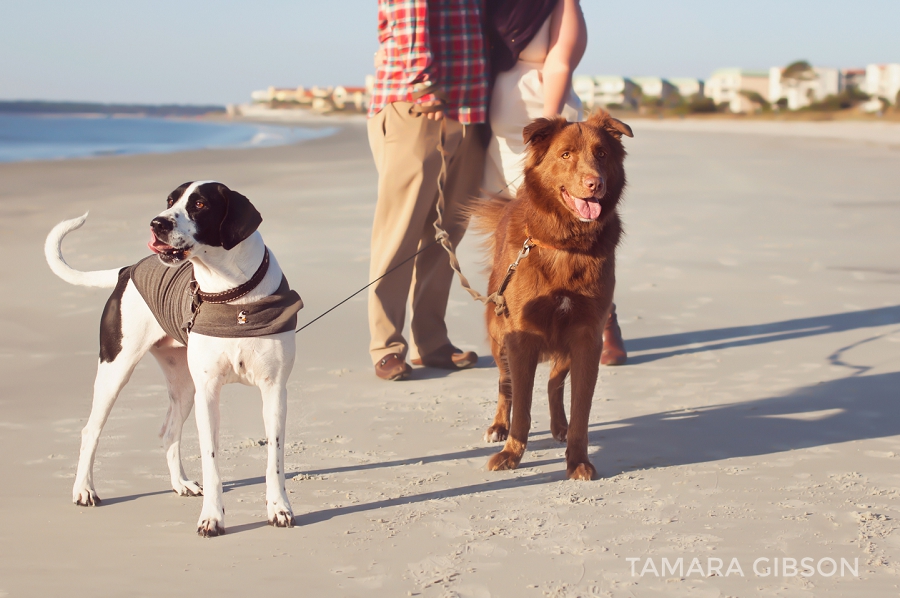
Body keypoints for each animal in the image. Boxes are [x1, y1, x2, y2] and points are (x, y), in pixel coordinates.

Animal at [44, 180, 302, 536]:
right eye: (169, 201)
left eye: (200, 204)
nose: (157, 223)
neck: (232, 294)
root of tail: (127, 270)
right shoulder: (208, 393)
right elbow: (211, 461)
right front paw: (212, 518)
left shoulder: (274, 390)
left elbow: (274, 459)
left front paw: (279, 509)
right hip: (116, 371)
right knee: (90, 431)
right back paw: (84, 490)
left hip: (183, 385)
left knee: (168, 431)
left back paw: (180, 483)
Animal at [472, 110, 632, 480]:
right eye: (566, 155)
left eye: (602, 153)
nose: (594, 184)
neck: (567, 243)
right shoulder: (521, 336)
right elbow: (521, 405)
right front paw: (511, 454)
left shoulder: (587, 336)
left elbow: (581, 410)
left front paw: (578, 461)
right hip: (499, 332)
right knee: (505, 384)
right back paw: (498, 426)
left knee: (554, 383)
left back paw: (559, 426)